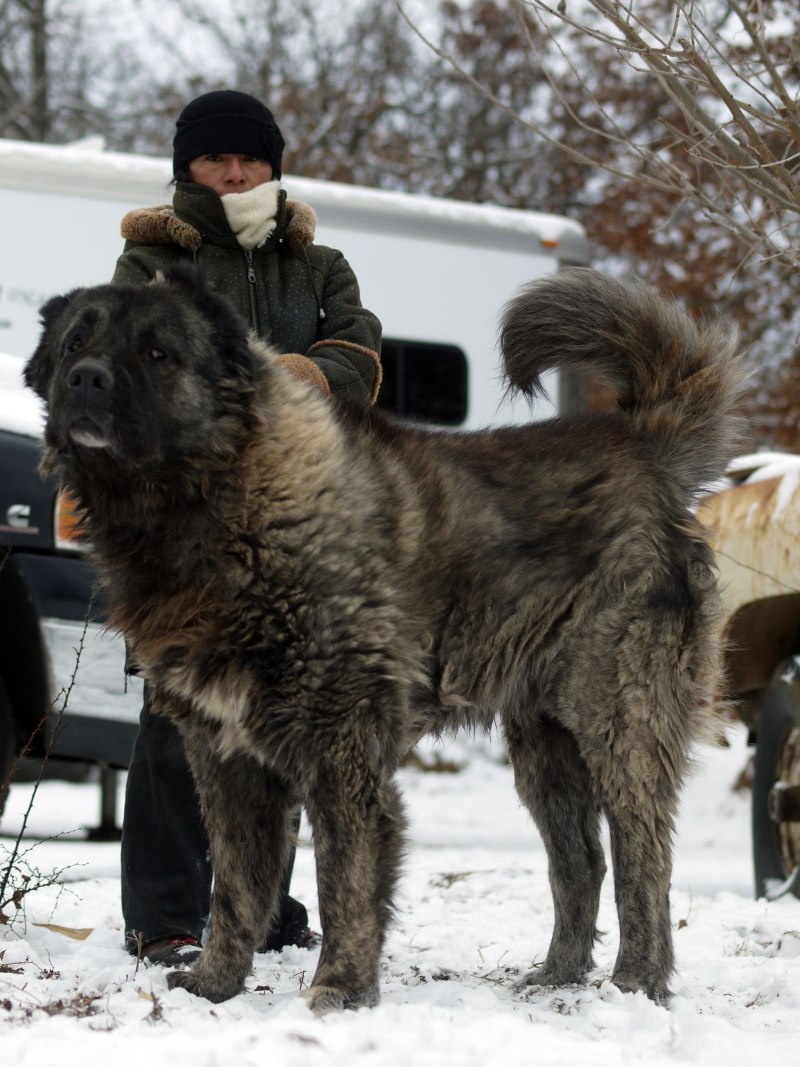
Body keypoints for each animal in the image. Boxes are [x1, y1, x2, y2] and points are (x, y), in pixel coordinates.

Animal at [24, 266, 744, 1012]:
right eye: (76, 341)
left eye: (159, 352)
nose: (86, 377)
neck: (227, 506)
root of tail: (641, 447)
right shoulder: (226, 756)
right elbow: (235, 886)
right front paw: (215, 983)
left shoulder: (343, 748)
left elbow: (345, 880)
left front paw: (339, 989)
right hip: (544, 744)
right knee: (580, 858)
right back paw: (557, 975)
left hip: (618, 718)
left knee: (642, 854)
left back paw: (637, 982)